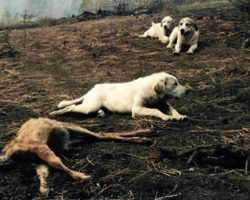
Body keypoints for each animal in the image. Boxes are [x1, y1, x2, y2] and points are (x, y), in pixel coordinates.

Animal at [0, 117, 150, 195]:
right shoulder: (37, 161)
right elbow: (42, 172)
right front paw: (44, 189)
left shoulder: (39, 147)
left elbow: (55, 163)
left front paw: (81, 176)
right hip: (72, 139)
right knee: (99, 136)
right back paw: (144, 136)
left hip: (72, 128)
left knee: (100, 134)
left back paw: (145, 133)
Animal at [49, 72, 188, 122]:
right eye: (175, 84)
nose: (187, 91)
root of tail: (92, 89)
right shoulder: (137, 109)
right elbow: (155, 111)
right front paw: (166, 117)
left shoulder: (164, 103)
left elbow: (173, 109)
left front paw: (179, 116)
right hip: (90, 106)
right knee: (72, 106)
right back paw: (57, 113)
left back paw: (101, 113)